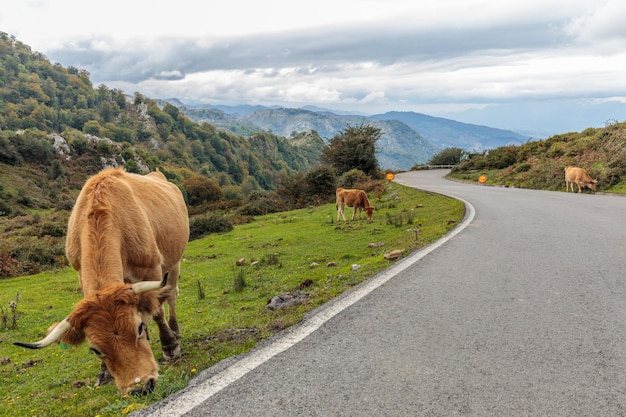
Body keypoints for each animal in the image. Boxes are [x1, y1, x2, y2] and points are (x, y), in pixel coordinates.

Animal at [14, 167, 188, 394]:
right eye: (95, 349)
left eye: (138, 328)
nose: (139, 387)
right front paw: (104, 373)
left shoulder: (151, 269)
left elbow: (157, 310)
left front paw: (169, 346)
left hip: (173, 262)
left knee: (172, 295)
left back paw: (175, 332)